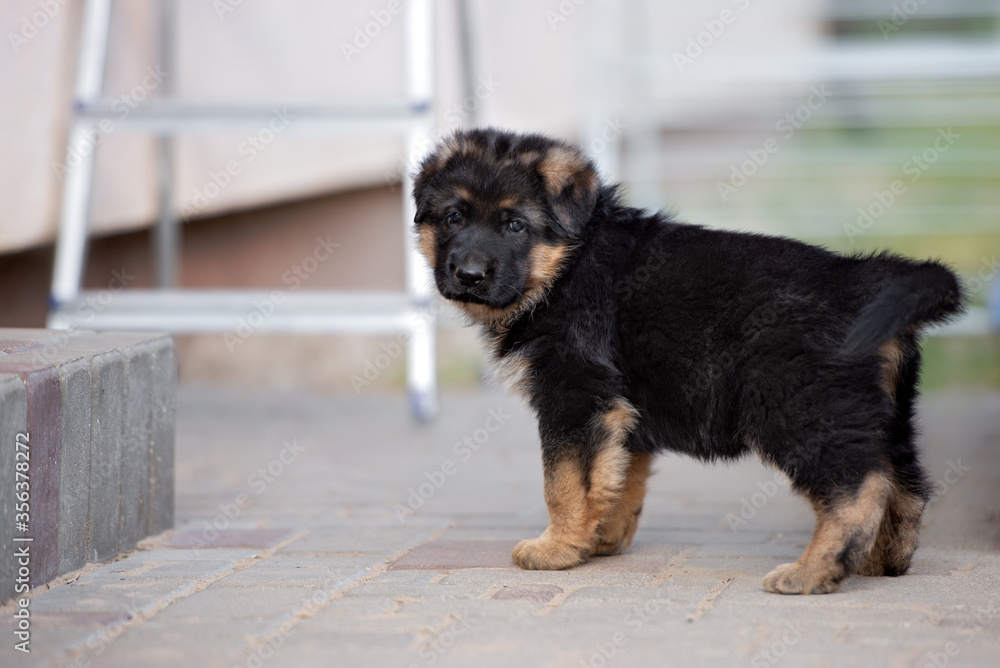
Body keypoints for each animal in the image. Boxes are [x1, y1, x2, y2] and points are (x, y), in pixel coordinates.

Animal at [410, 128, 964, 592]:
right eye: (454, 217)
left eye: (514, 225)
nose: (469, 274)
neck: (565, 266)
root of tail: (862, 279)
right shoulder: (620, 412)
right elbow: (617, 477)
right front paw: (597, 539)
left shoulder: (575, 395)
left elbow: (564, 481)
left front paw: (556, 548)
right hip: (883, 410)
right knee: (905, 482)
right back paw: (881, 561)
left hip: (797, 403)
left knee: (858, 483)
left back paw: (813, 571)